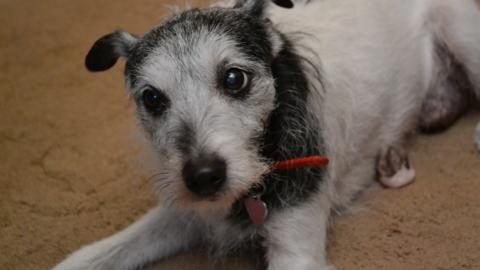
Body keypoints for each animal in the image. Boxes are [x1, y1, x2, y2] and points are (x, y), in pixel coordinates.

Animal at [52, 0, 480, 268]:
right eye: (153, 98)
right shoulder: (186, 212)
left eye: (234, 78)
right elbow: (103, 252)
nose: (203, 177)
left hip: (460, 29)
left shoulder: (295, 247)